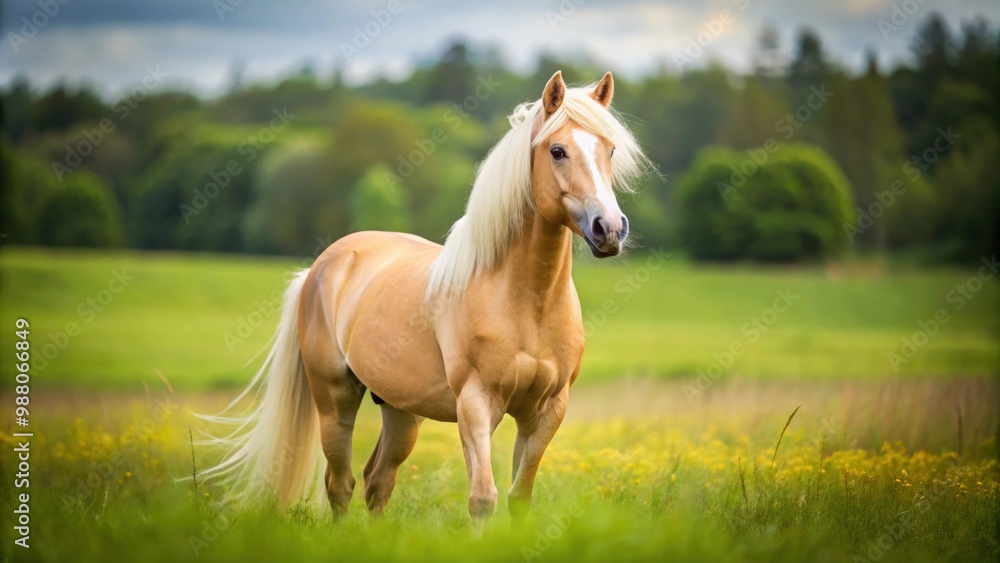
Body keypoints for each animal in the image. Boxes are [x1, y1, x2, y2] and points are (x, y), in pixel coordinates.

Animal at [199, 70, 650, 525]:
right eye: (557, 150)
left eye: (611, 149)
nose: (609, 229)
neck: (524, 303)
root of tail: (321, 267)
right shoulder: (475, 405)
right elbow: (482, 498)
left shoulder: (545, 411)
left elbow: (518, 496)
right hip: (334, 400)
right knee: (340, 484)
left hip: (400, 409)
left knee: (377, 481)